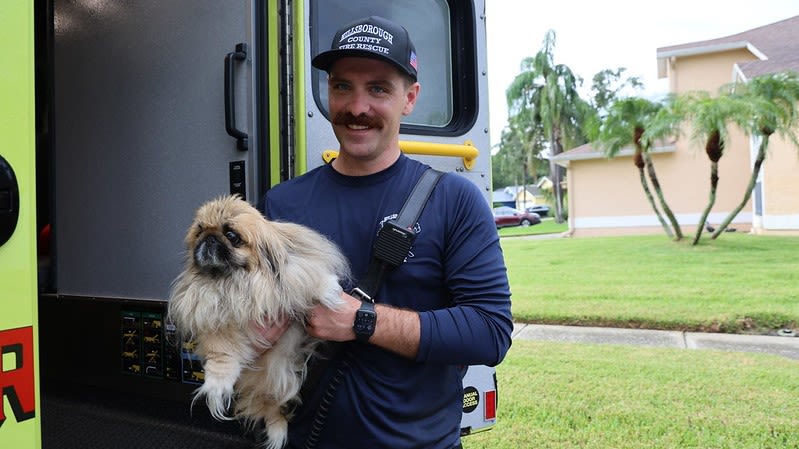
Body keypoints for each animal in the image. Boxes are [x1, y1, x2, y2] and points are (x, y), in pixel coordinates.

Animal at [169, 195, 350, 448]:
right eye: (200, 231)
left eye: (231, 235)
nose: (209, 237)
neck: (233, 282)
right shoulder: (212, 317)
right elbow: (221, 354)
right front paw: (217, 384)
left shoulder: (293, 274)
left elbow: (304, 276)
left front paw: (328, 289)